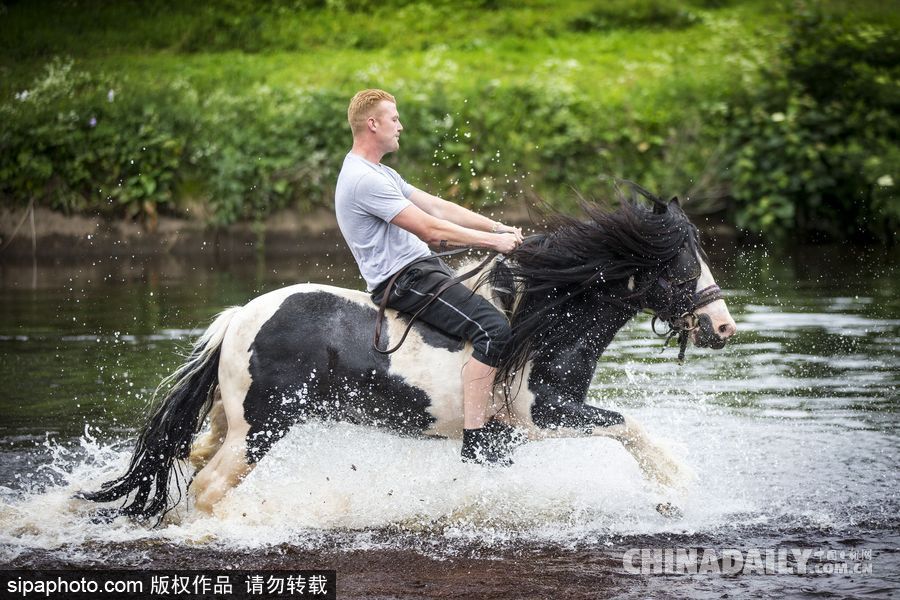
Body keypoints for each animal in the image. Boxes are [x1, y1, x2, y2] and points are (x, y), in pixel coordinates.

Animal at [81, 191, 736, 520]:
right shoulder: (544, 415)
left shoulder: (521, 434)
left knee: (193, 459)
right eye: (680, 265)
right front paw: (678, 485)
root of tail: (240, 316)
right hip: (262, 427)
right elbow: (629, 426)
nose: (723, 326)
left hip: (231, 420)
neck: (542, 322)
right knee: (210, 488)